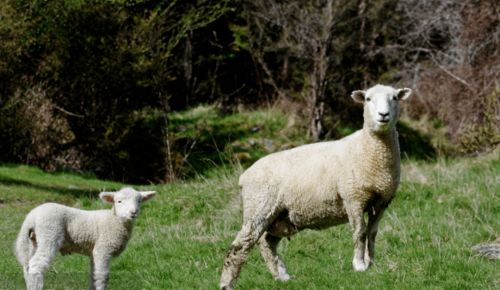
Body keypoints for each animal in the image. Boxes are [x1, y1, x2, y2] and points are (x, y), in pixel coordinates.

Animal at [15, 187, 156, 288]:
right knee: (36, 265)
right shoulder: (103, 249)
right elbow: (102, 277)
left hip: (33, 240)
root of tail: (32, 216)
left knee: (27, 266)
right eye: (119, 201)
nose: (133, 212)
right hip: (49, 233)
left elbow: (93, 276)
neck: (114, 221)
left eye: (139, 201)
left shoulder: (94, 252)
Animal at [221, 83, 412, 288]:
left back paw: (282, 276)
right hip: (259, 206)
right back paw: (227, 283)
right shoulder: (353, 198)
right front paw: (359, 265)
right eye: (368, 99)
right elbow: (359, 232)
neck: (368, 150)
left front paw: (371, 263)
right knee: (241, 245)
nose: (383, 115)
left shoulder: (382, 201)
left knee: (266, 243)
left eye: (394, 98)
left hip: (278, 215)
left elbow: (372, 232)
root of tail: (244, 175)